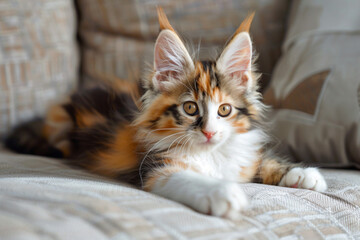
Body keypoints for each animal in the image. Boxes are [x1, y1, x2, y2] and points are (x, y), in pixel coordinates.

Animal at [4, 8, 328, 219]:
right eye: (190, 108)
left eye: (224, 110)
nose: (209, 132)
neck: (210, 154)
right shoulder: (157, 168)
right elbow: (188, 179)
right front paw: (223, 194)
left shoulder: (242, 158)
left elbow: (262, 161)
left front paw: (302, 174)